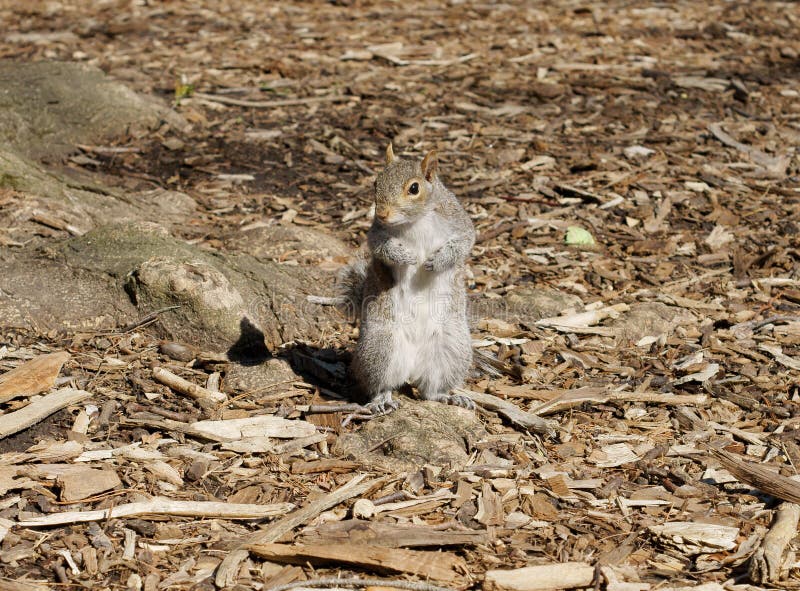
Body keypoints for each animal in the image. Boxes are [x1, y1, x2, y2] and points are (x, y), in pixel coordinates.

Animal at [324, 147, 476, 416]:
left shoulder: (458, 222)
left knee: (429, 391)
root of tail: (413, 366)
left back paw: (448, 397)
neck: (415, 220)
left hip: (452, 348)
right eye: (376, 183)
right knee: (381, 384)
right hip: (381, 345)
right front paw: (406, 256)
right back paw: (382, 399)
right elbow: (381, 247)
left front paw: (436, 261)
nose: (382, 213)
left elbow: (464, 242)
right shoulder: (376, 232)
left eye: (414, 188)